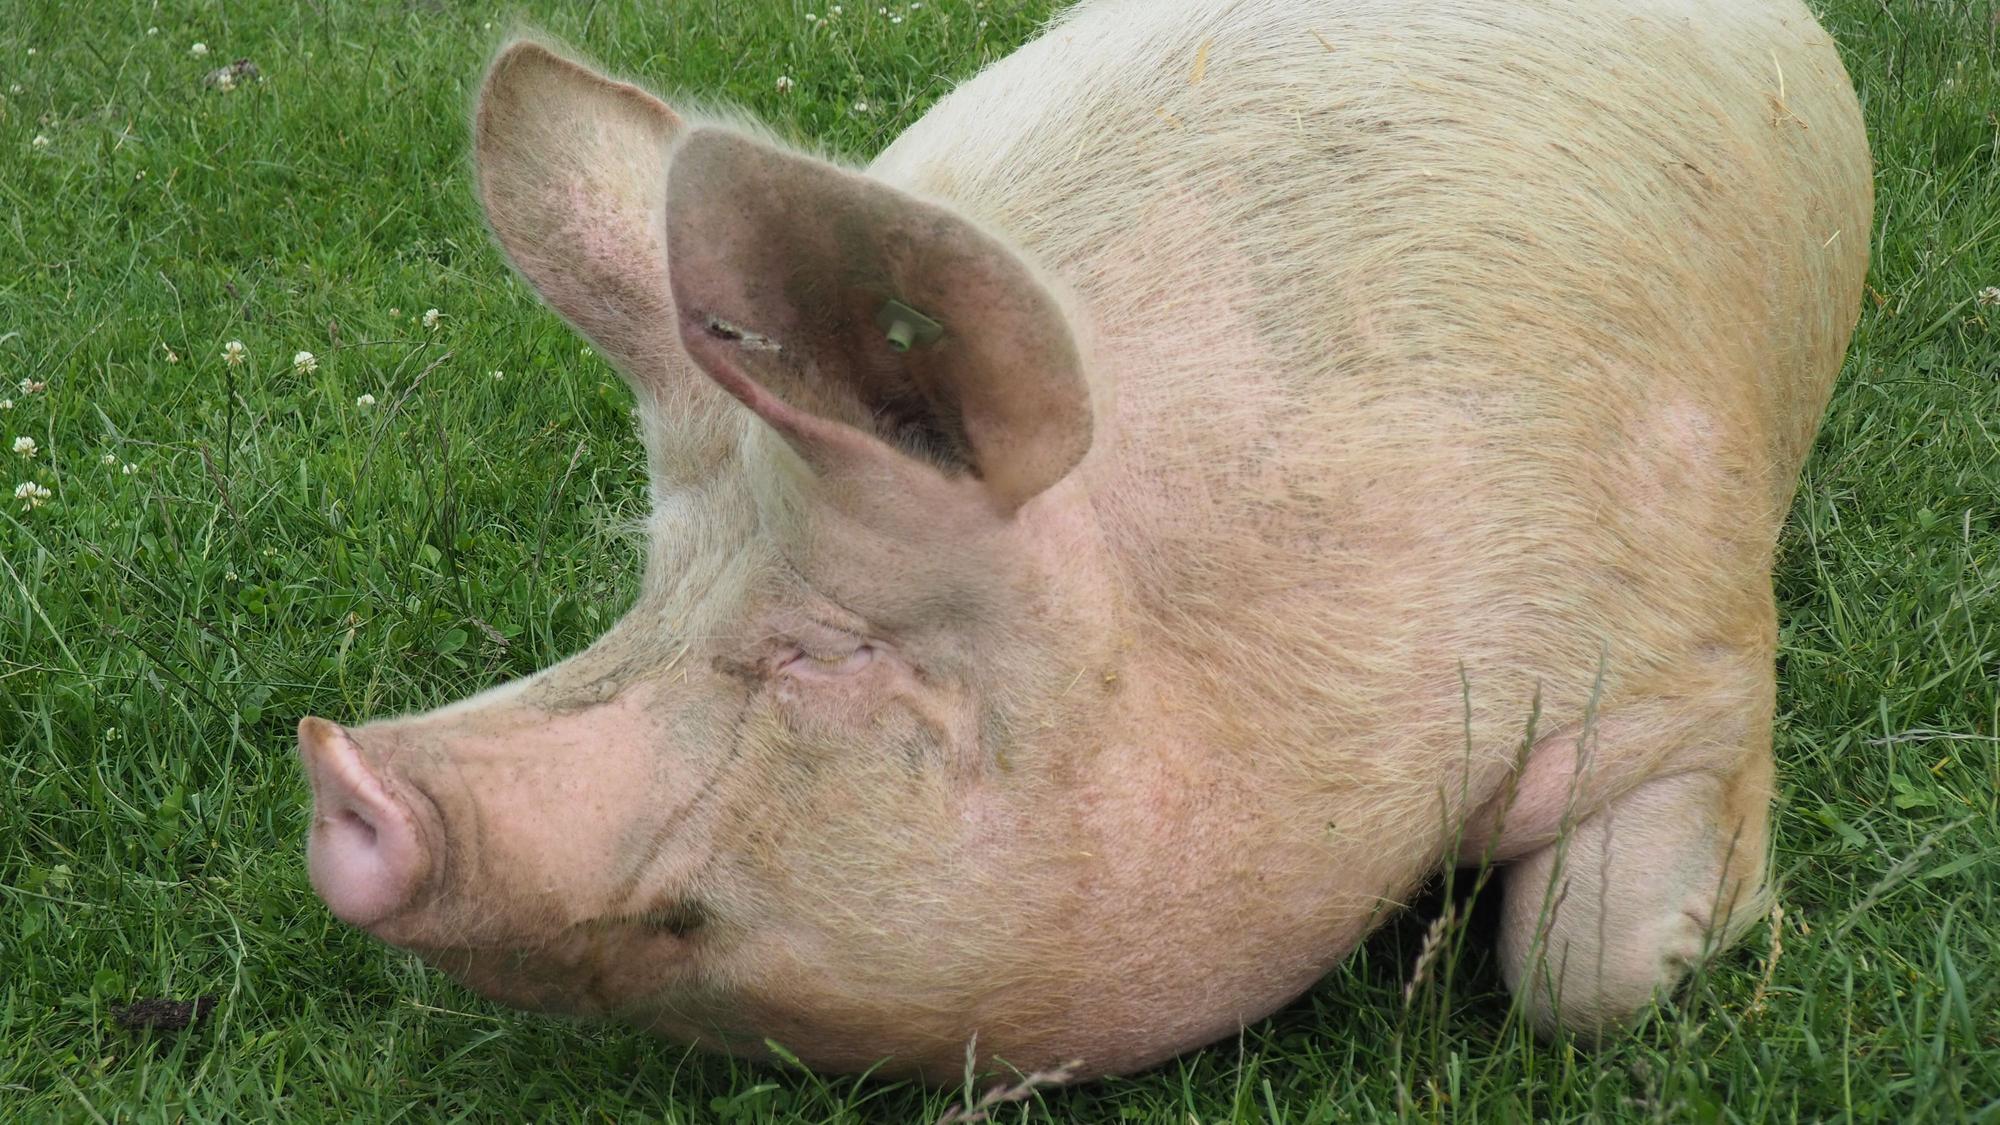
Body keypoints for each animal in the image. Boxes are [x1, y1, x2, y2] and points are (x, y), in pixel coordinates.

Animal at [298, 0, 1871, 1082]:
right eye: (649, 593)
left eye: (833, 647)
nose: (337, 770)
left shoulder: (1692, 653)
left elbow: (1581, 975)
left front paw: (1715, 929)